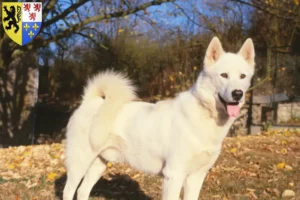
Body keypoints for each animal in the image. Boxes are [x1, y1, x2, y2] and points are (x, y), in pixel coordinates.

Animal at [63, 36, 255, 199]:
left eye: (242, 76)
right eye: (224, 75)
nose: (237, 93)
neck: (205, 116)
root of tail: (90, 101)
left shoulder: (196, 177)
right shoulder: (174, 175)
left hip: (99, 163)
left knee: (82, 191)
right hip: (79, 162)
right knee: (69, 190)